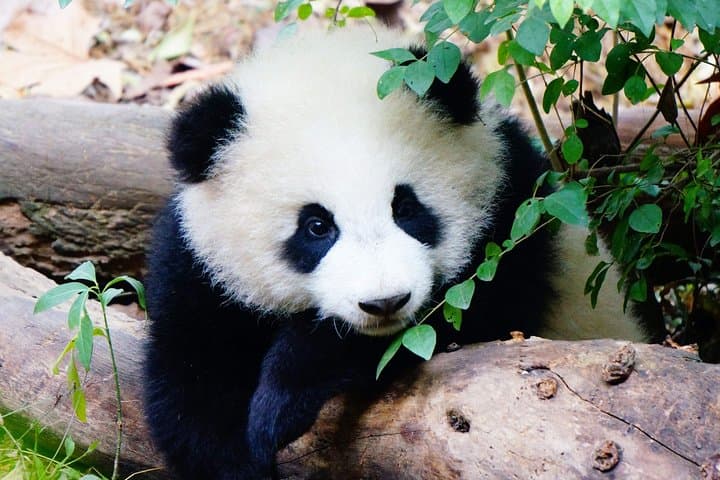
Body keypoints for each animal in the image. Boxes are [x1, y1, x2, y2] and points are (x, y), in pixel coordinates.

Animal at [143, 27, 647, 479]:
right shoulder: (201, 267)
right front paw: (242, 455)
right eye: (316, 226)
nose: (385, 302)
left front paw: (283, 398)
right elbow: (189, 376)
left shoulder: (513, 225)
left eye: (405, 207)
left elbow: (466, 320)